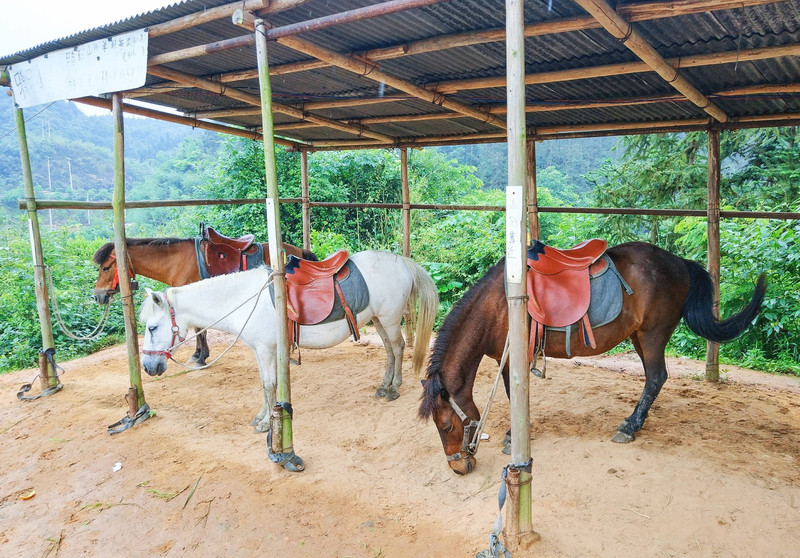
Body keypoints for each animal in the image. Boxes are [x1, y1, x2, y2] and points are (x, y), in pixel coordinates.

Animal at [94, 237, 316, 366]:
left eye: (106, 267)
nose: (98, 295)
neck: (177, 262)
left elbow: (200, 329)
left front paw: (200, 357)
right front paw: (198, 354)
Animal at [138, 252, 438, 436]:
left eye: (152, 327)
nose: (149, 367)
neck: (244, 298)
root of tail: (402, 262)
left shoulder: (267, 350)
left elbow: (270, 384)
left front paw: (266, 423)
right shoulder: (260, 351)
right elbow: (263, 384)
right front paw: (261, 416)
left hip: (389, 319)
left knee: (397, 348)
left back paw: (394, 389)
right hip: (377, 319)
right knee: (389, 350)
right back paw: (384, 386)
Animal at [416, 242, 764, 476]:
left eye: (446, 426)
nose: (459, 467)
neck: (500, 305)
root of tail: (680, 262)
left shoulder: (514, 357)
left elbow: (515, 396)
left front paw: (514, 436)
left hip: (653, 334)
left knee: (656, 377)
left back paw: (630, 426)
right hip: (639, 336)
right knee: (655, 378)